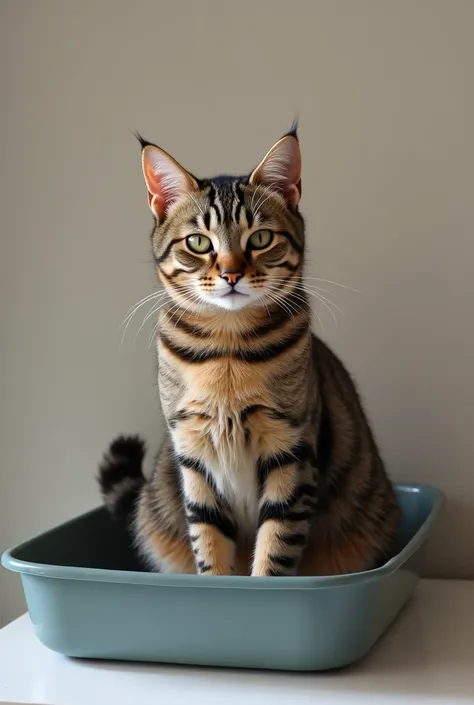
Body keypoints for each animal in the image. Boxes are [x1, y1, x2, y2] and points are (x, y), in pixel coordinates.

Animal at [99, 125, 400, 576]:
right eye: (198, 242)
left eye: (260, 238)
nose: (231, 273)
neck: (227, 349)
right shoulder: (194, 458)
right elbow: (209, 545)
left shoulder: (290, 450)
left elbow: (275, 548)